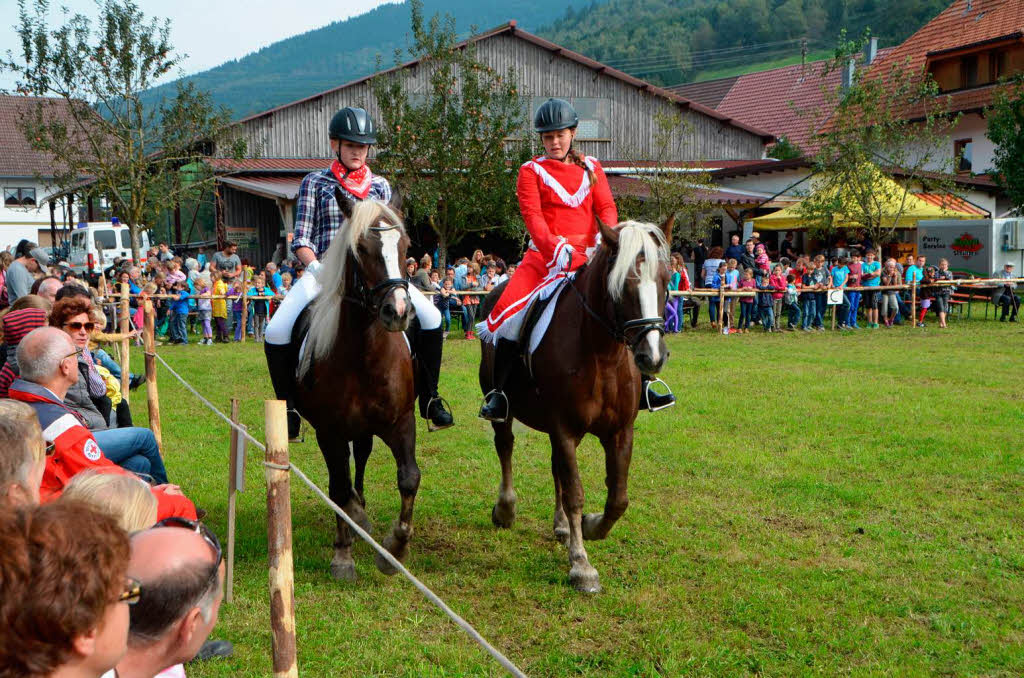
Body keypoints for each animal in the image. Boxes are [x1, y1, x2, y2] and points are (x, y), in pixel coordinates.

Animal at [294, 192, 421, 585]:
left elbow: (409, 478)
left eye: (406, 246)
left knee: (361, 457)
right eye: (362, 249)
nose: (398, 311)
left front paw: (396, 550)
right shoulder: (329, 431)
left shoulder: (401, 421)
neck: (364, 354)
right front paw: (343, 556)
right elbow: (337, 486)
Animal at [477, 215, 675, 594]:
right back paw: (506, 509)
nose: (652, 357)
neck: (602, 355)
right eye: (623, 285)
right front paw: (582, 565)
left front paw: (588, 525)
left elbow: (617, 498)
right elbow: (575, 492)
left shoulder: (619, 431)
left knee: (556, 468)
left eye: (665, 280)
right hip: (504, 409)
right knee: (505, 445)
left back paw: (563, 526)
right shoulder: (564, 428)